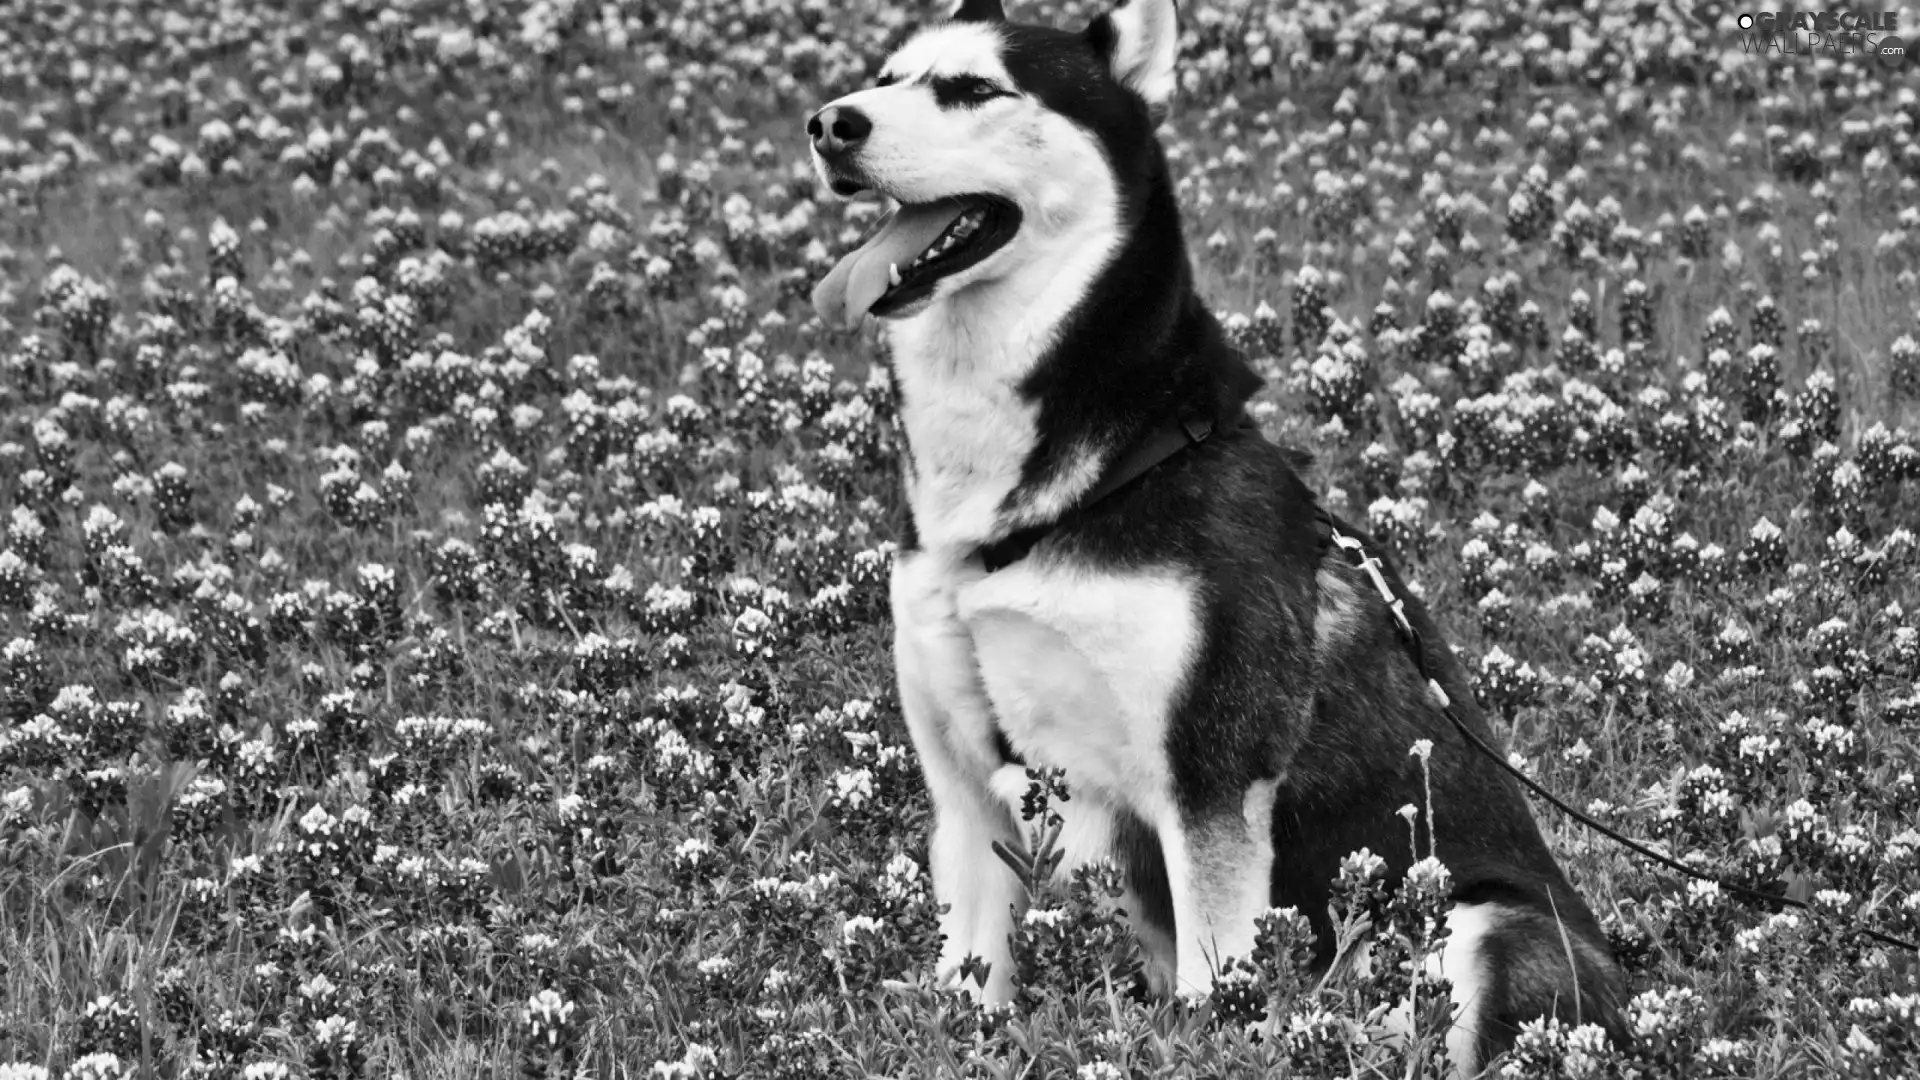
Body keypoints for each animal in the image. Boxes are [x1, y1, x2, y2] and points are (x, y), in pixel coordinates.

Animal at [802, 0, 1628, 1060]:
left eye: (976, 88)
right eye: (886, 75)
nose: (831, 123)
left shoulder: (1211, 782)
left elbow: (1213, 986)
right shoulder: (966, 789)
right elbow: (969, 980)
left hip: (1478, 924)